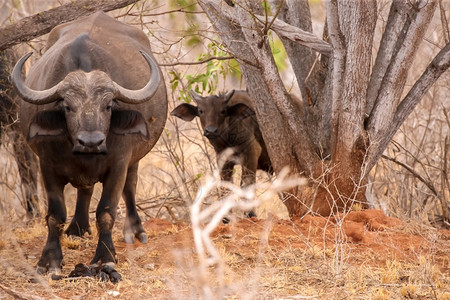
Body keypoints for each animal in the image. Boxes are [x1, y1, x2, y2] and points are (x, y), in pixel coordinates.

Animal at [11, 11, 169, 278]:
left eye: (108, 106)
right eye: (67, 106)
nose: (91, 142)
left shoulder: (118, 164)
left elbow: (106, 211)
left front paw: (105, 258)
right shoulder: (47, 166)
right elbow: (55, 215)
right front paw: (50, 260)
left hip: (135, 160)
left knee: (130, 188)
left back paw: (135, 231)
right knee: (85, 190)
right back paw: (77, 229)